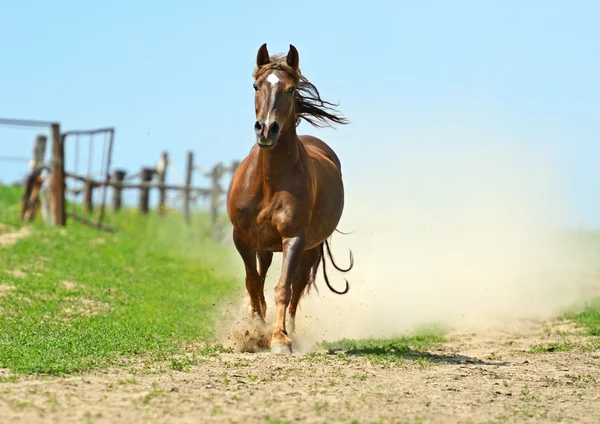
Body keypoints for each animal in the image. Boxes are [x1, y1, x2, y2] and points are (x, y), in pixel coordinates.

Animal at [227, 44, 354, 354]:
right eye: (256, 86)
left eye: (291, 89)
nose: (266, 129)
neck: (269, 182)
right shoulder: (241, 237)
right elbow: (253, 283)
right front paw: (253, 330)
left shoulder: (294, 238)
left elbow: (283, 288)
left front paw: (279, 338)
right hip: (263, 245)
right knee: (260, 277)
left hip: (311, 249)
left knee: (296, 288)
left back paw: (291, 331)